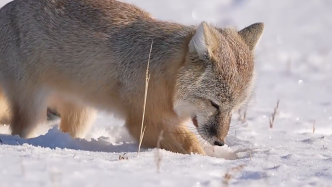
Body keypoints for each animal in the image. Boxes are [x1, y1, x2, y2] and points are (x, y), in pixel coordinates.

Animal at [0, 0, 264, 155]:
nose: (220, 141)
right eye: (214, 104)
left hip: (81, 114)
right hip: (33, 112)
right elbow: (193, 146)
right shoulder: (145, 122)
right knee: (20, 130)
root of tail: (5, 9)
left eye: (234, 109)